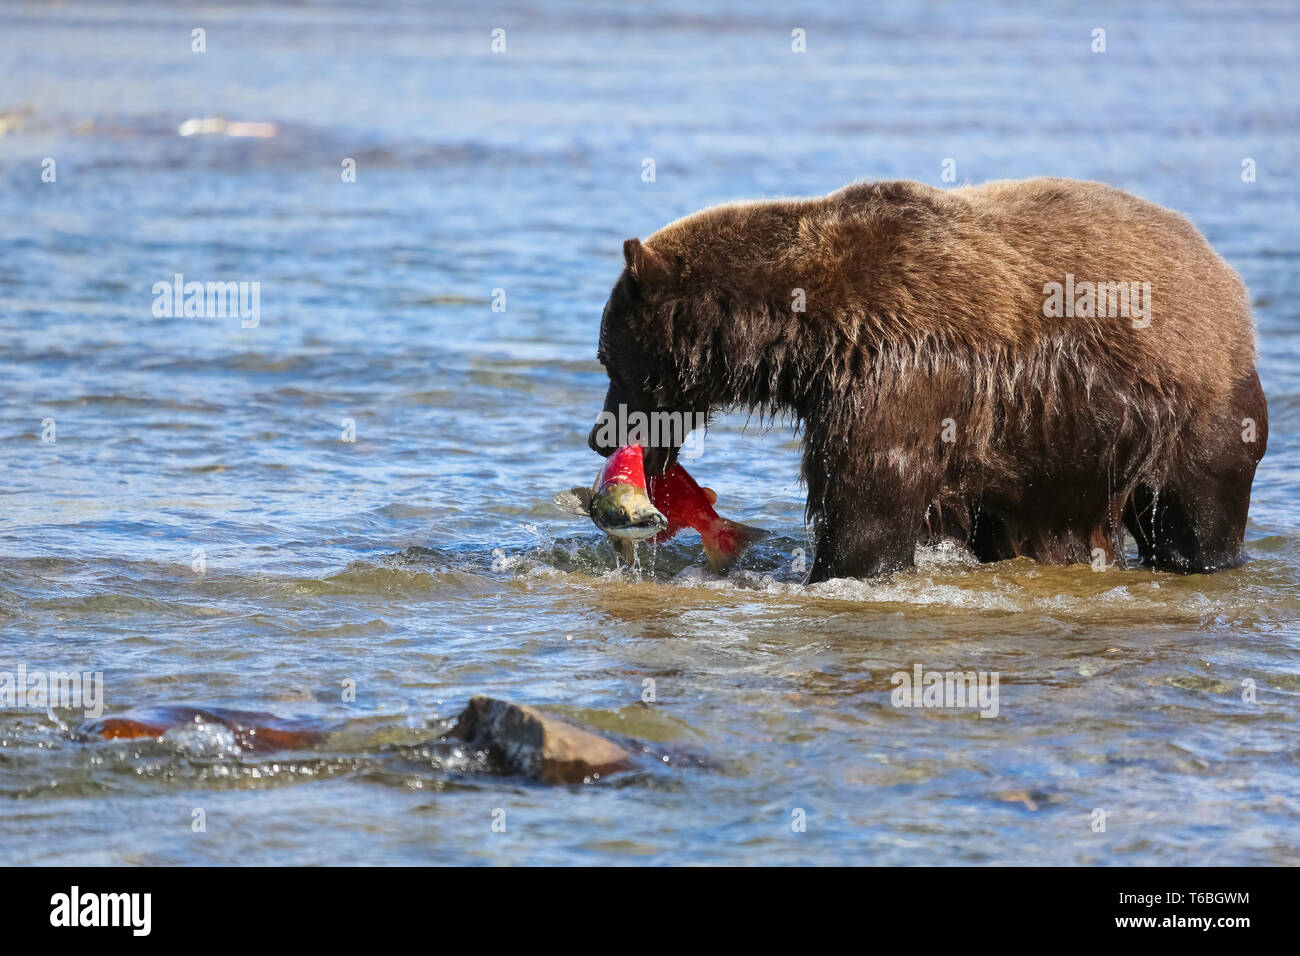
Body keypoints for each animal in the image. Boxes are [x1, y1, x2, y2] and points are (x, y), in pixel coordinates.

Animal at [585, 178, 1263, 582]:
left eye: (610, 363)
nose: (599, 435)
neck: (805, 336)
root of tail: (1226, 276)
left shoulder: (900, 374)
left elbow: (869, 499)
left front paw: (835, 570)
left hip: (1189, 407)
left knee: (1197, 512)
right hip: (1059, 453)